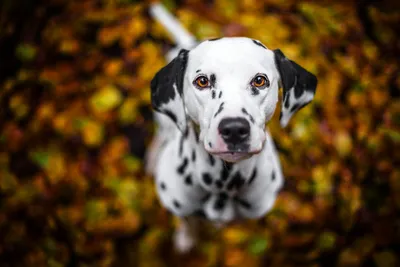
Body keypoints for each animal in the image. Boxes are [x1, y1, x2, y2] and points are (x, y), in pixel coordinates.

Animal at [145, 3, 318, 252]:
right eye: (202, 81)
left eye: (259, 80)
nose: (234, 129)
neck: (223, 186)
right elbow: (188, 220)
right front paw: (186, 237)